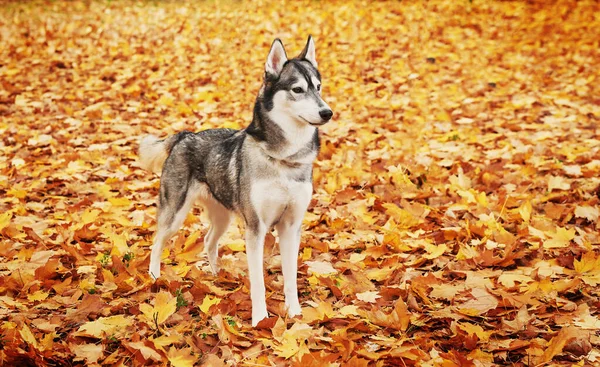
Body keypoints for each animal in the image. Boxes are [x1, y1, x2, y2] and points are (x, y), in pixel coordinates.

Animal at [139, 36, 332, 326]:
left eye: (318, 87)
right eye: (297, 89)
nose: (327, 112)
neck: (283, 160)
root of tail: (185, 135)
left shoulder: (291, 226)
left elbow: (290, 278)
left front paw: (295, 313)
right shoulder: (256, 228)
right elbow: (258, 282)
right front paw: (260, 319)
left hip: (223, 217)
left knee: (209, 240)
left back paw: (216, 276)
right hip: (175, 213)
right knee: (157, 241)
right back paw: (154, 276)